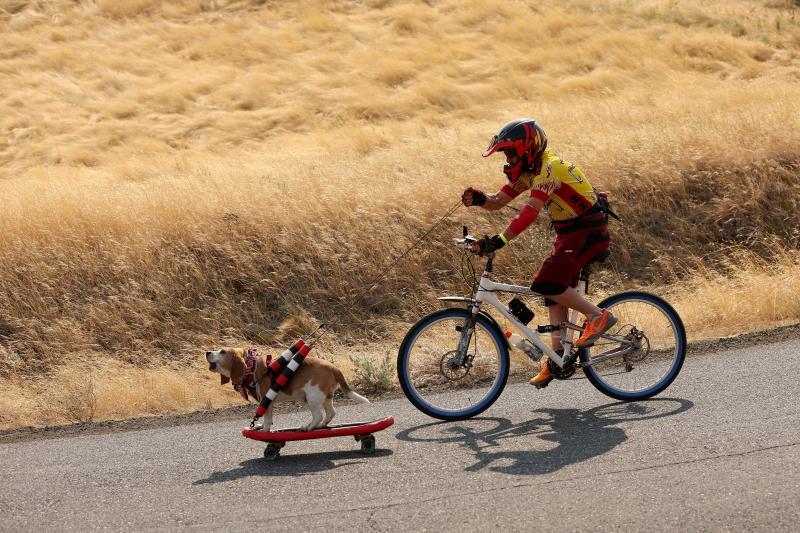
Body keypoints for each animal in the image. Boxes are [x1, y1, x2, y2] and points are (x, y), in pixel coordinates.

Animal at [206, 344, 368, 432]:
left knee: (318, 415)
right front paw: (261, 426)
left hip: (312, 397)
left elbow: (267, 418)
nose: (207, 352)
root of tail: (333, 367)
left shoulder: (266, 400)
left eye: (222, 352)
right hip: (324, 397)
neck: (250, 367)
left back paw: (308, 427)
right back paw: (320, 426)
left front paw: (265, 430)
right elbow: (266, 418)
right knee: (330, 413)